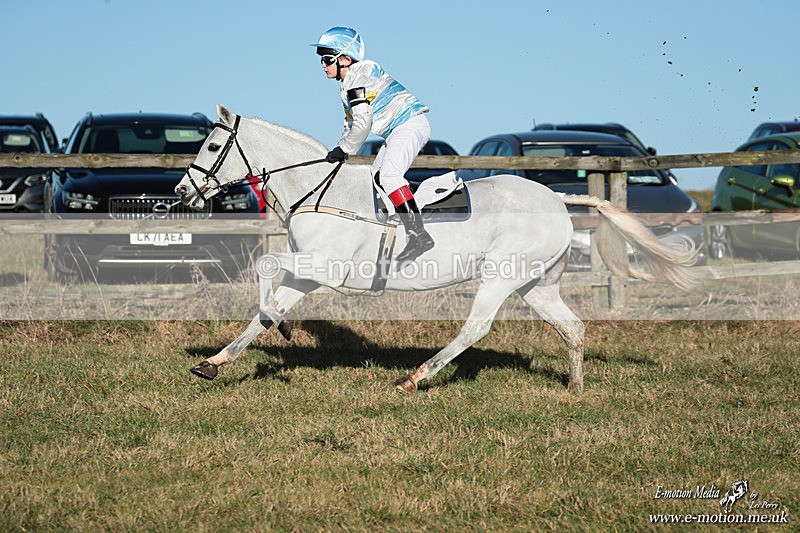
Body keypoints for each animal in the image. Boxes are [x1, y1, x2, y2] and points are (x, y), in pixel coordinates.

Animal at [174, 104, 697, 394]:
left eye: (213, 145)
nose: (182, 191)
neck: (316, 189)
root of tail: (556, 198)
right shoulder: (307, 272)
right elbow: (262, 310)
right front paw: (214, 363)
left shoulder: (326, 267)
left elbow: (265, 267)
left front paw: (278, 326)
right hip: (536, 285)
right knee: (572, 328)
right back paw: (575, 387)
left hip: (502, 276)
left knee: (476, 327)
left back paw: (415, 378)